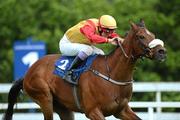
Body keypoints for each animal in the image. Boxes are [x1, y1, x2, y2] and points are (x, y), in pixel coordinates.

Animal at [3, 19, 166, 119]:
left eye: (153, 35)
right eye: (141, 36)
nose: (161, 52)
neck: (112, 73)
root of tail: (28, 73)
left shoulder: (121, 110)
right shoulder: (93, 111)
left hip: (63, 108)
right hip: (44, 98)